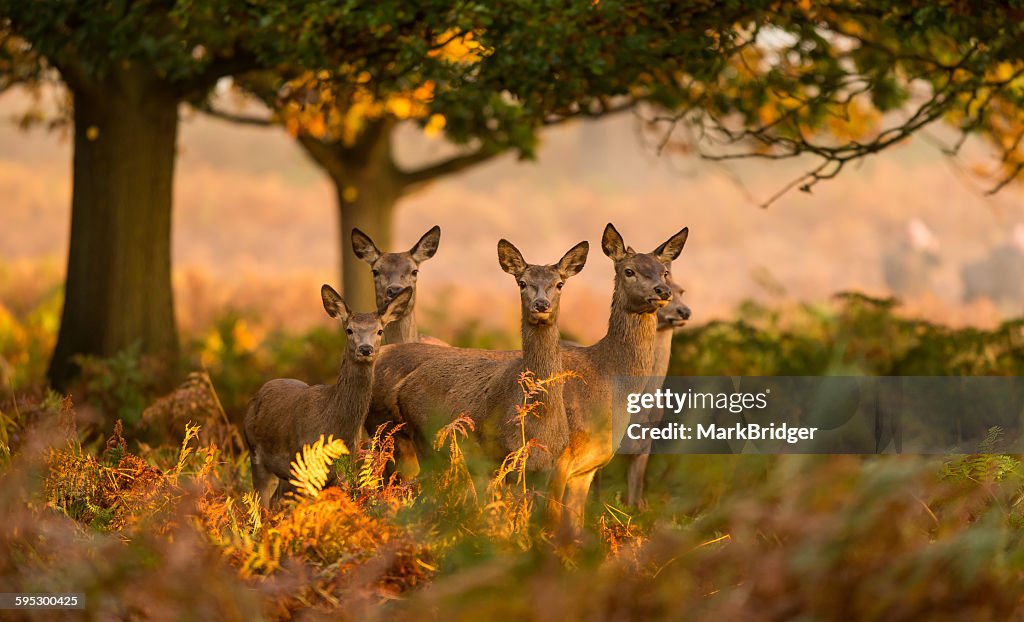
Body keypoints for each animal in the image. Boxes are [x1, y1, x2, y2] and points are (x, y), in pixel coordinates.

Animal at [243, 284, 412, 507]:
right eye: (349, 330)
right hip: (255, 453)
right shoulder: (303, 467)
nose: (365, 349)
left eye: (379, 331)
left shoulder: (340, 475)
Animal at [366, 239, 590, 469]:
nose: (541, 304)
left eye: (560, 284)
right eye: (522, 283)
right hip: (419, 439)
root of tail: (401, 388)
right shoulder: (495, 453)